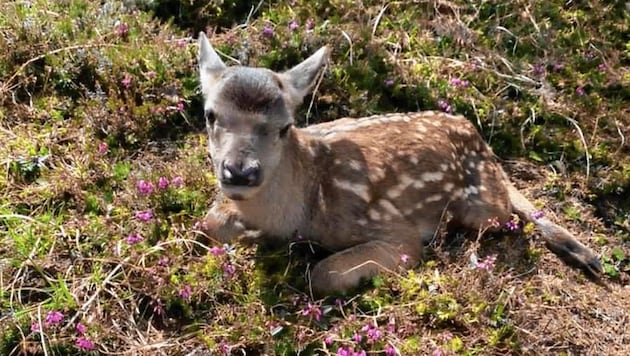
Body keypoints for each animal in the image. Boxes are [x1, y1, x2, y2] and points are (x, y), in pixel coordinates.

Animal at [198, 32, 604, 294]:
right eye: (210, 114)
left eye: (284, 127)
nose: (240, 172)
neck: (303, 211)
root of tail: (475, 133)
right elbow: (209, 222)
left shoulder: (397, 232)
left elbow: (323, 274)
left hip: (484, 206)